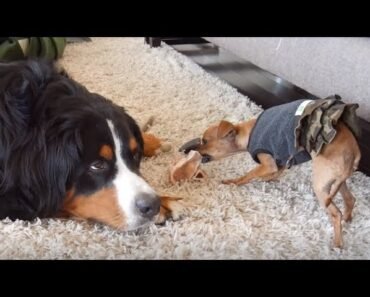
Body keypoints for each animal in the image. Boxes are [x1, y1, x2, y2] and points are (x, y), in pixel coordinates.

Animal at [182, 97, 362, 247]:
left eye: (205, 141)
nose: (190, 149)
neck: (248, 133)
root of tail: (355, 153)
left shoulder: (268, 163)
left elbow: (249, 175)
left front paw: (233, 182)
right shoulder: (280, 162)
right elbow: (274, 173)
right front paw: (267, 180)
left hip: (321, 186)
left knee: (336, 213)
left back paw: (337, 242)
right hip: (338, 181)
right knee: (350, 199)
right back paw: (348, 219)